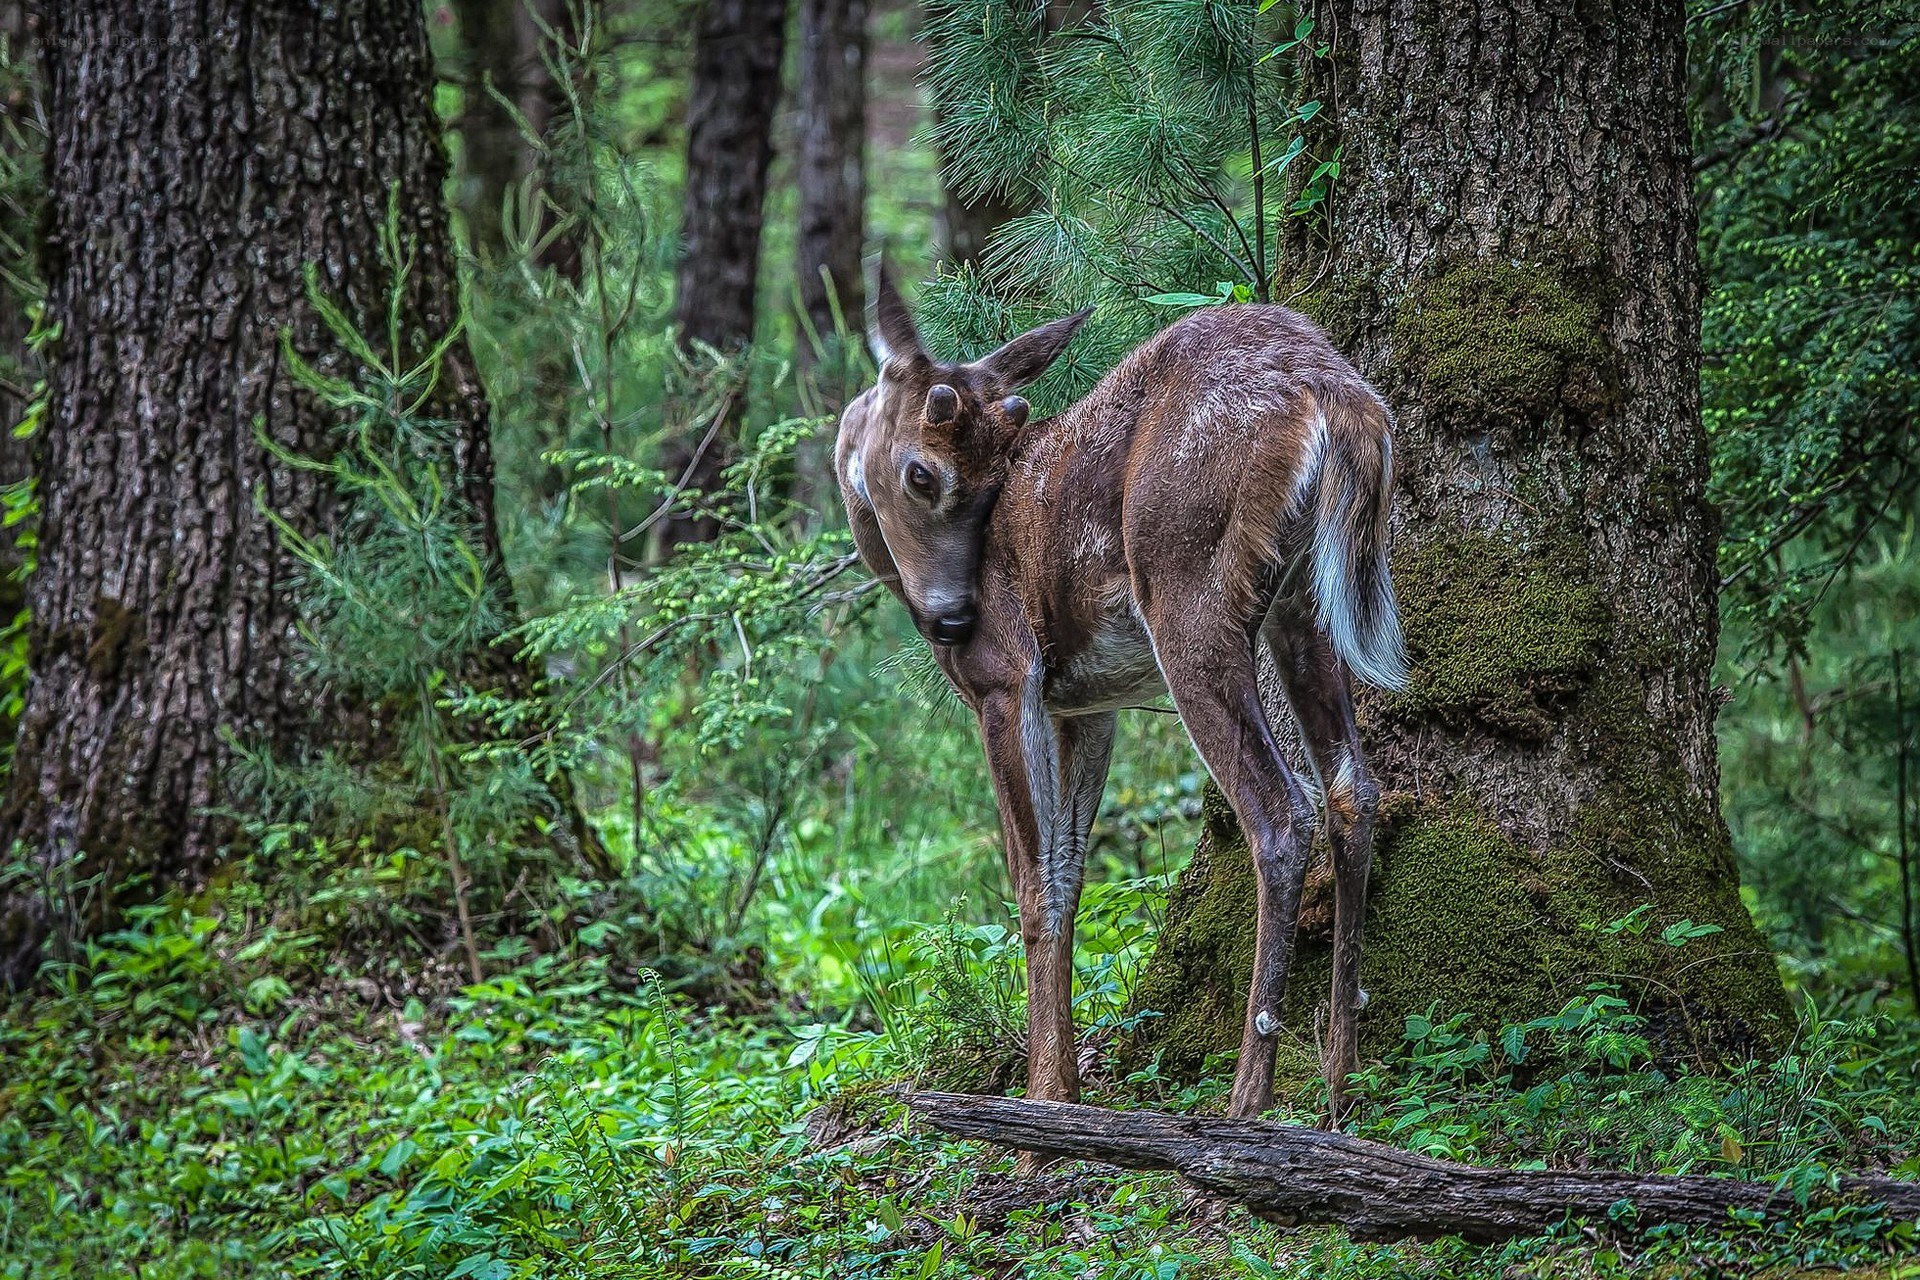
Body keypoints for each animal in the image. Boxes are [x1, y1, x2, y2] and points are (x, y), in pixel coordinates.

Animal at [833, 267, 1406, 1128]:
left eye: (925, 474)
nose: (955, 620)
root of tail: (1332, 389)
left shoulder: (1010, 681)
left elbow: (1034, 884)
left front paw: (1039, 1113)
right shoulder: (1086, 704)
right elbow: (1071, 873)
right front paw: (1066, 1093)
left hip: (1188, 588)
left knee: (1279, 811)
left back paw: (1246, 1099)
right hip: (1303, 605)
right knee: (1352, 790)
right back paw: (1341, 1086)